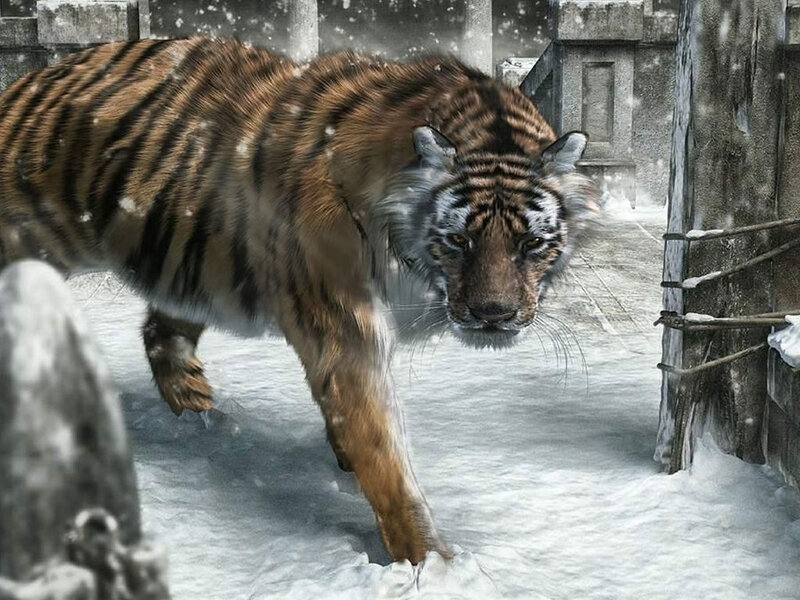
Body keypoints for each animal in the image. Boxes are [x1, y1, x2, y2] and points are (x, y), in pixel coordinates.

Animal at [0, 36, 599, 564]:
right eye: (459, 240)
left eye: (530, 244)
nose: (493, 316)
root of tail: (25, 81)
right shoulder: (345, 330)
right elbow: (383, 450)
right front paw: (433, 562)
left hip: (191, 271)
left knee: (161, 333)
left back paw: (201, 416)